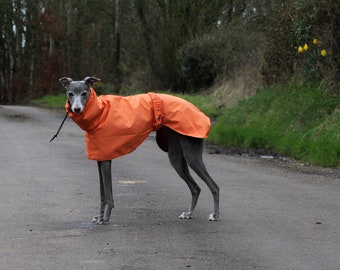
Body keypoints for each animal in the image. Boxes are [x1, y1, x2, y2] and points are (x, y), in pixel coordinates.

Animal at [58, 76, 219, 224]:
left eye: (84, 93)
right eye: (70, 93)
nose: (76, 109)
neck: (100, 112)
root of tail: (200, 112)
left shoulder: (106, 161)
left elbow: (108, 195)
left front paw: (105, 218)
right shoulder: (100, 159)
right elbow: (102, 194)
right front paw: (99, 216)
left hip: (192, 155)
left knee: (214, 186)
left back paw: (215, 215)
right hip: (176, 157)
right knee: (196, 188)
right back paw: (189, 213)